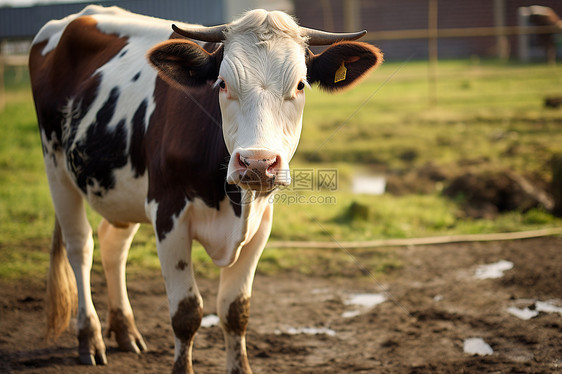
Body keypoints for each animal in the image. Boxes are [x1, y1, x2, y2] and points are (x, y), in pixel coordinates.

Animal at [28, 4, 382, 372]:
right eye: (222, 83)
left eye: (300, 85)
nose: (257, 162)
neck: (233, 204)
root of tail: (82, 14)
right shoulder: (168, 215)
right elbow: (186, 314)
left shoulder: (261, 223)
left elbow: (235, 311)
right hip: (55, 166)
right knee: (80, 248)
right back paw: (90, 337)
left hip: (120, 188)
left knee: (113, 245)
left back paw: (125, 331)